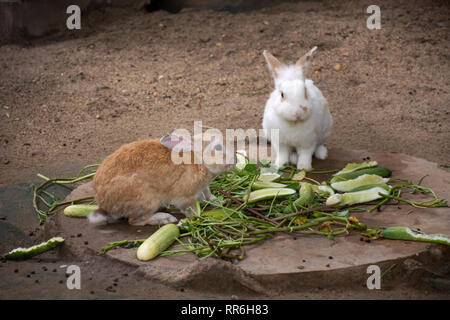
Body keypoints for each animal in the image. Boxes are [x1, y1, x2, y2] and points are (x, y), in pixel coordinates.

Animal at [89, 132, 236, 225]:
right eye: (218, 147)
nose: (234, 161)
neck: (198, 159)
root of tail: (104, 203)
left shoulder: (203, 188)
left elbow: (207, 194)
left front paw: (217, 201)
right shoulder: (184, 196)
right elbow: (189, 207)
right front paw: (197, 216)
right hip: (147, 199)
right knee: (135, 221)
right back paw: (164, 219)